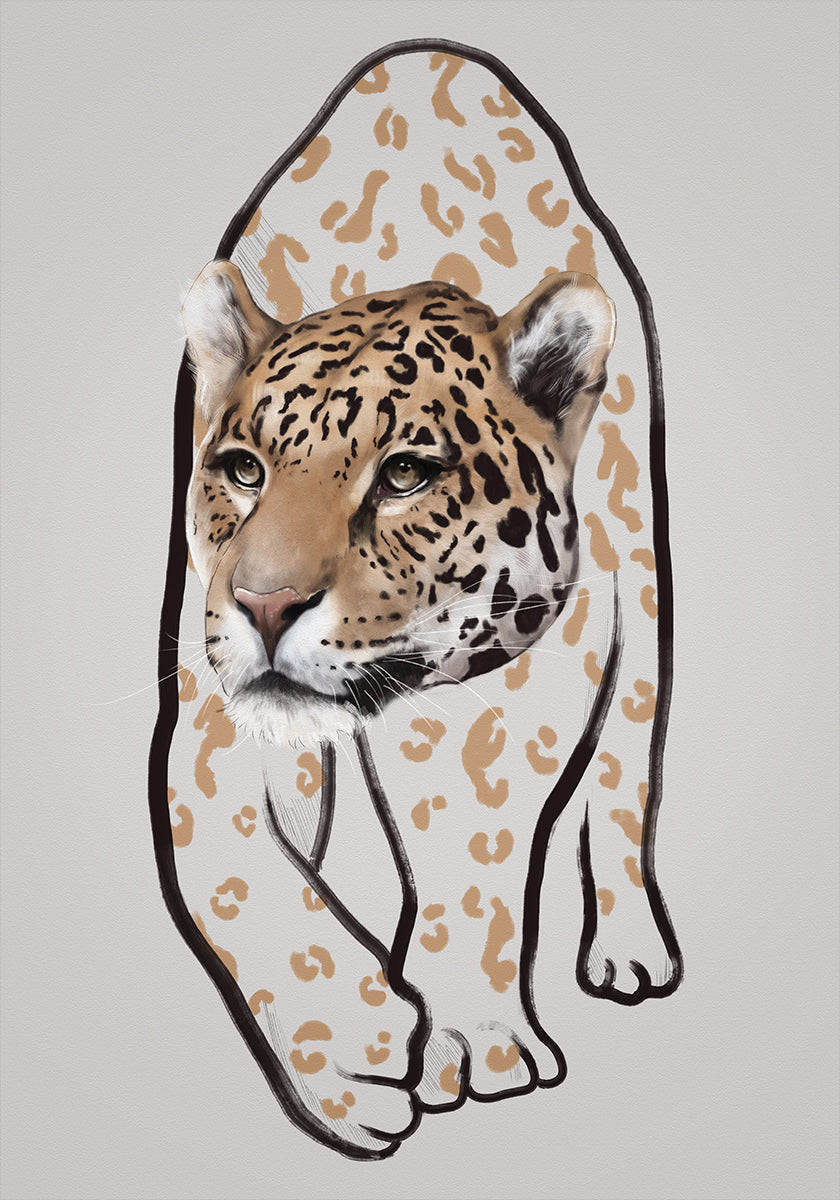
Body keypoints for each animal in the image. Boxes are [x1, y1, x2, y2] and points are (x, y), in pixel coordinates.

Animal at [151, 40, 681, 1160]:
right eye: (241, 469)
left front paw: (475, 1042)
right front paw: (351, 1049)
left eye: (404, 475)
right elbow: (231, 871)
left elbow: (475, 863)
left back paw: (630, 947)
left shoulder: (516, 687)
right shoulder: (205, 703)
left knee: (624, 778)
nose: (265, 604)